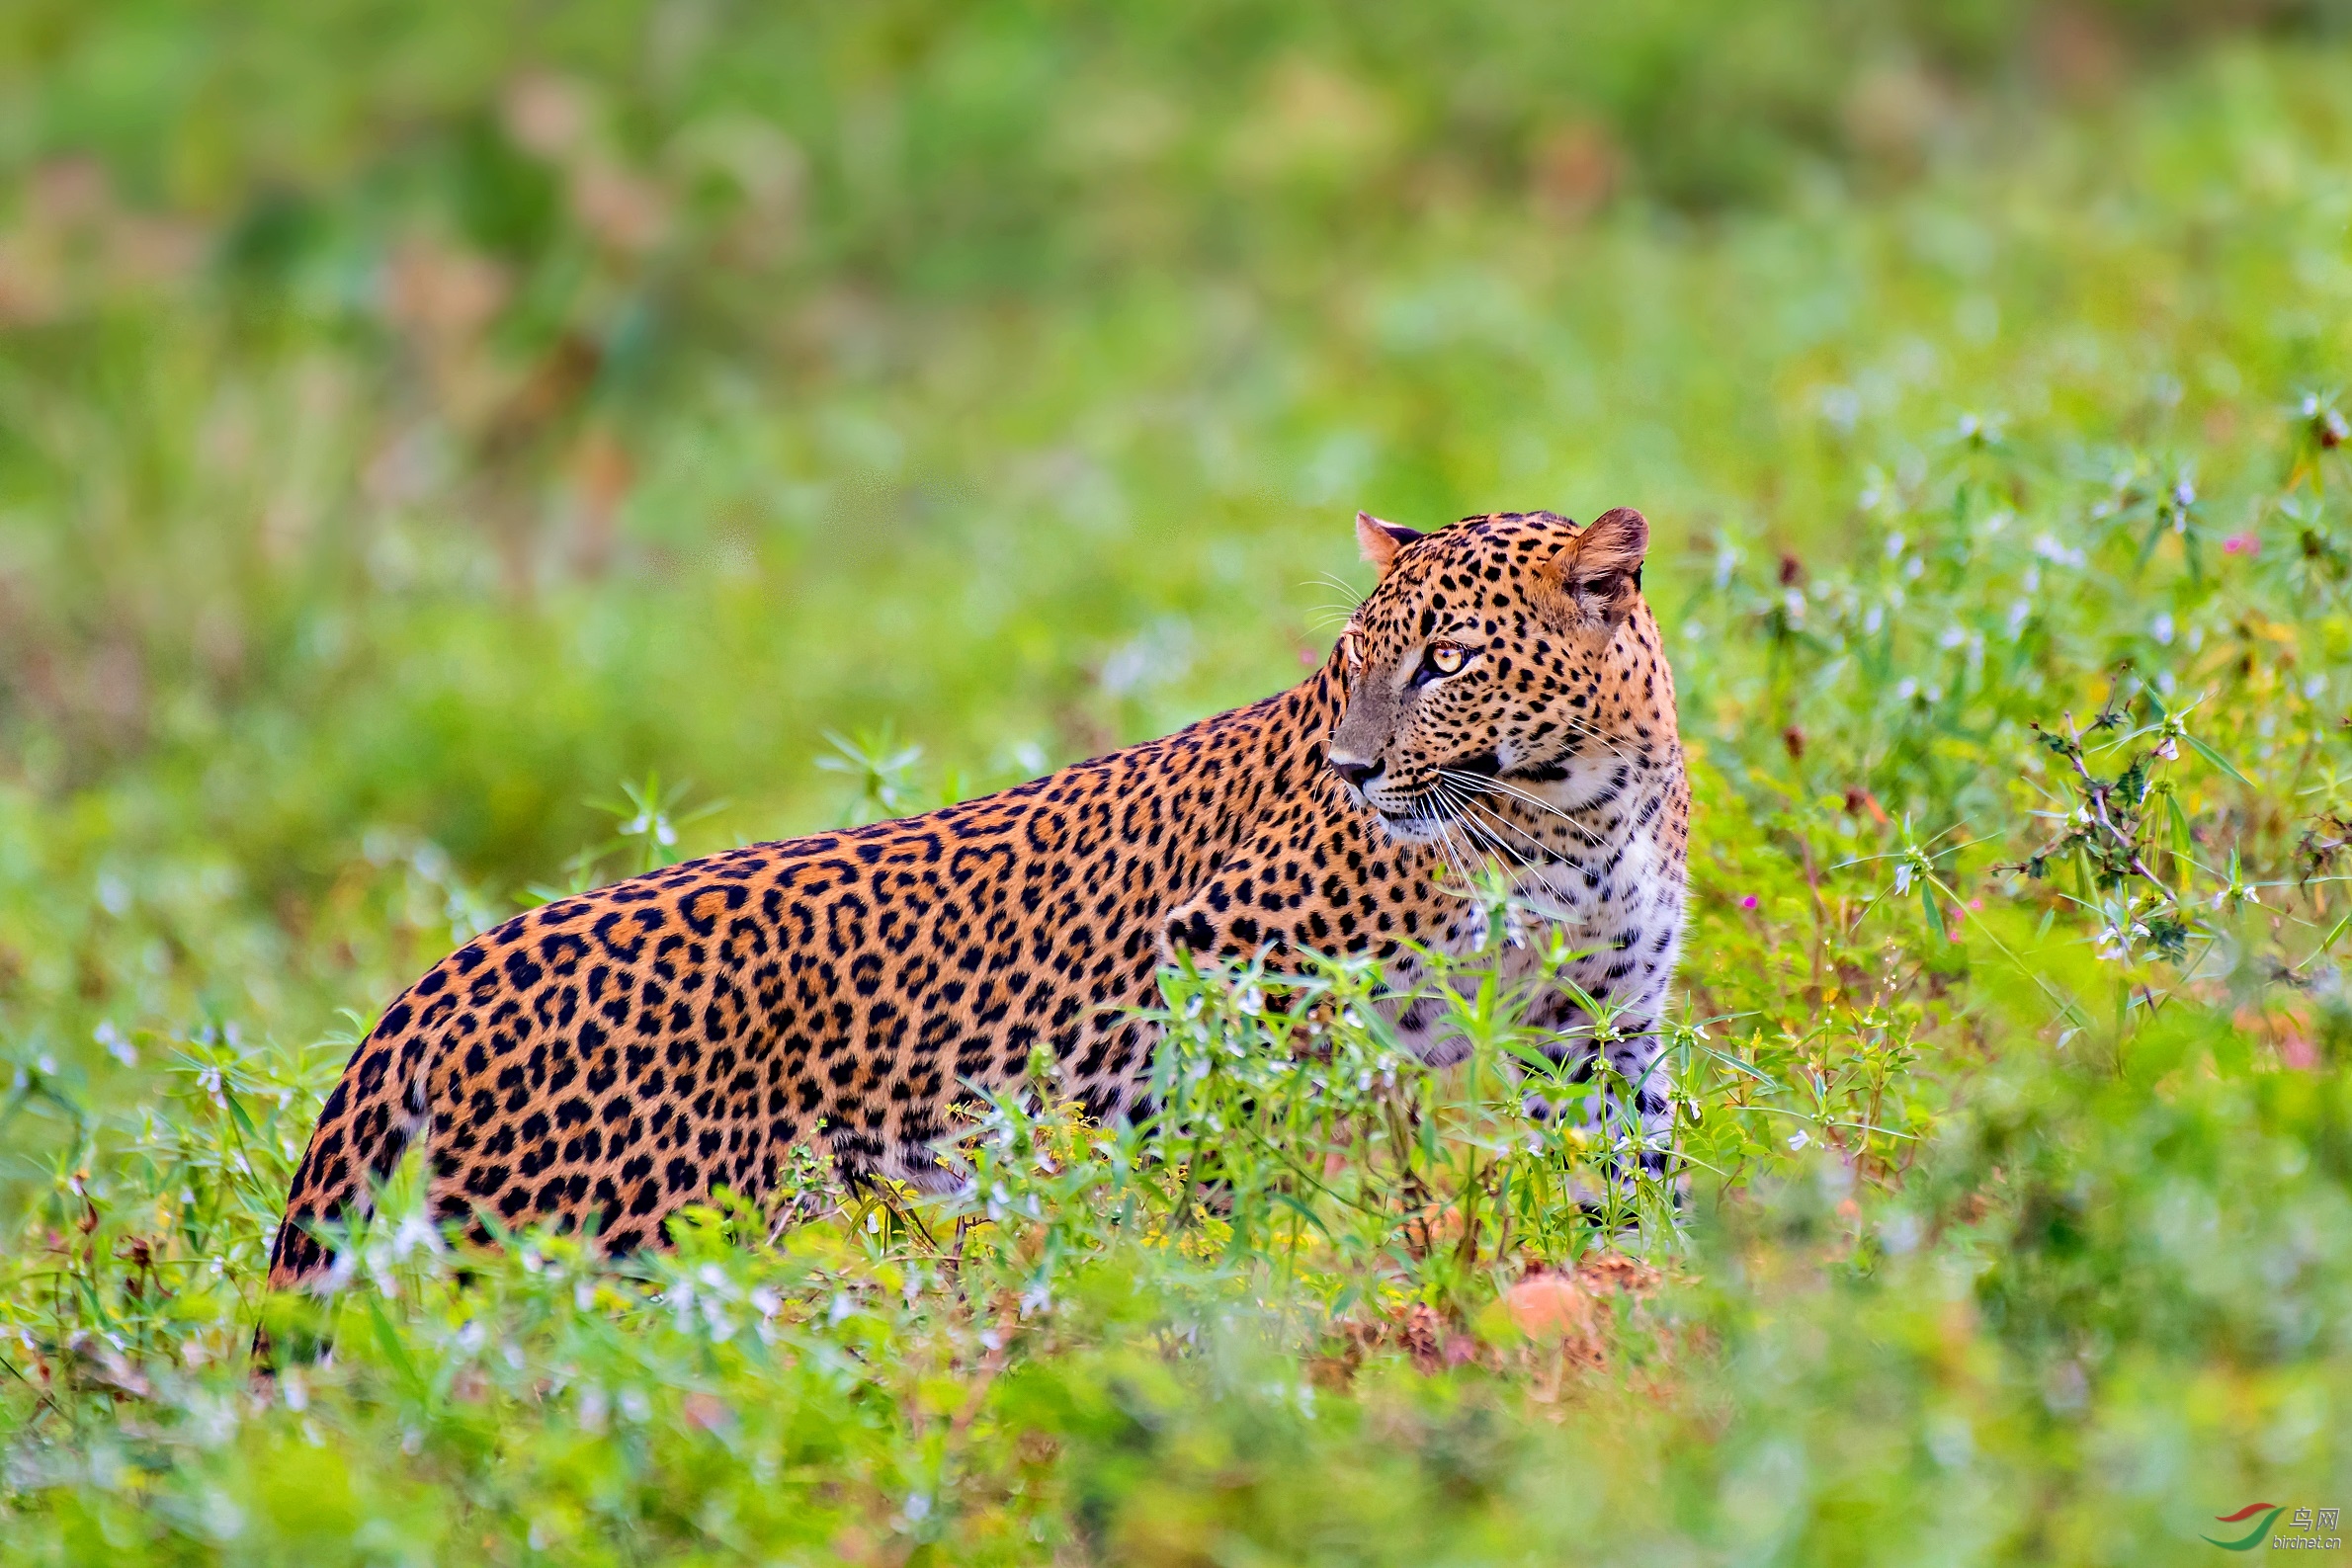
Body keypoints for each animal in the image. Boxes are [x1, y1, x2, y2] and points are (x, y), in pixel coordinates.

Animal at [262, 503, 1693, 1287]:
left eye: (1445, 662)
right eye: (1347, 662)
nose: (1349, 768)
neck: (1573, 808)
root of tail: (442, 979)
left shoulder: (1601, 1023)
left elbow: (1634, 1161)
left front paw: (1670, 1280)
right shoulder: (1230, 960)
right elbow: (1236, 1147)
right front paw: (1235, 1269)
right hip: (597, 1233)